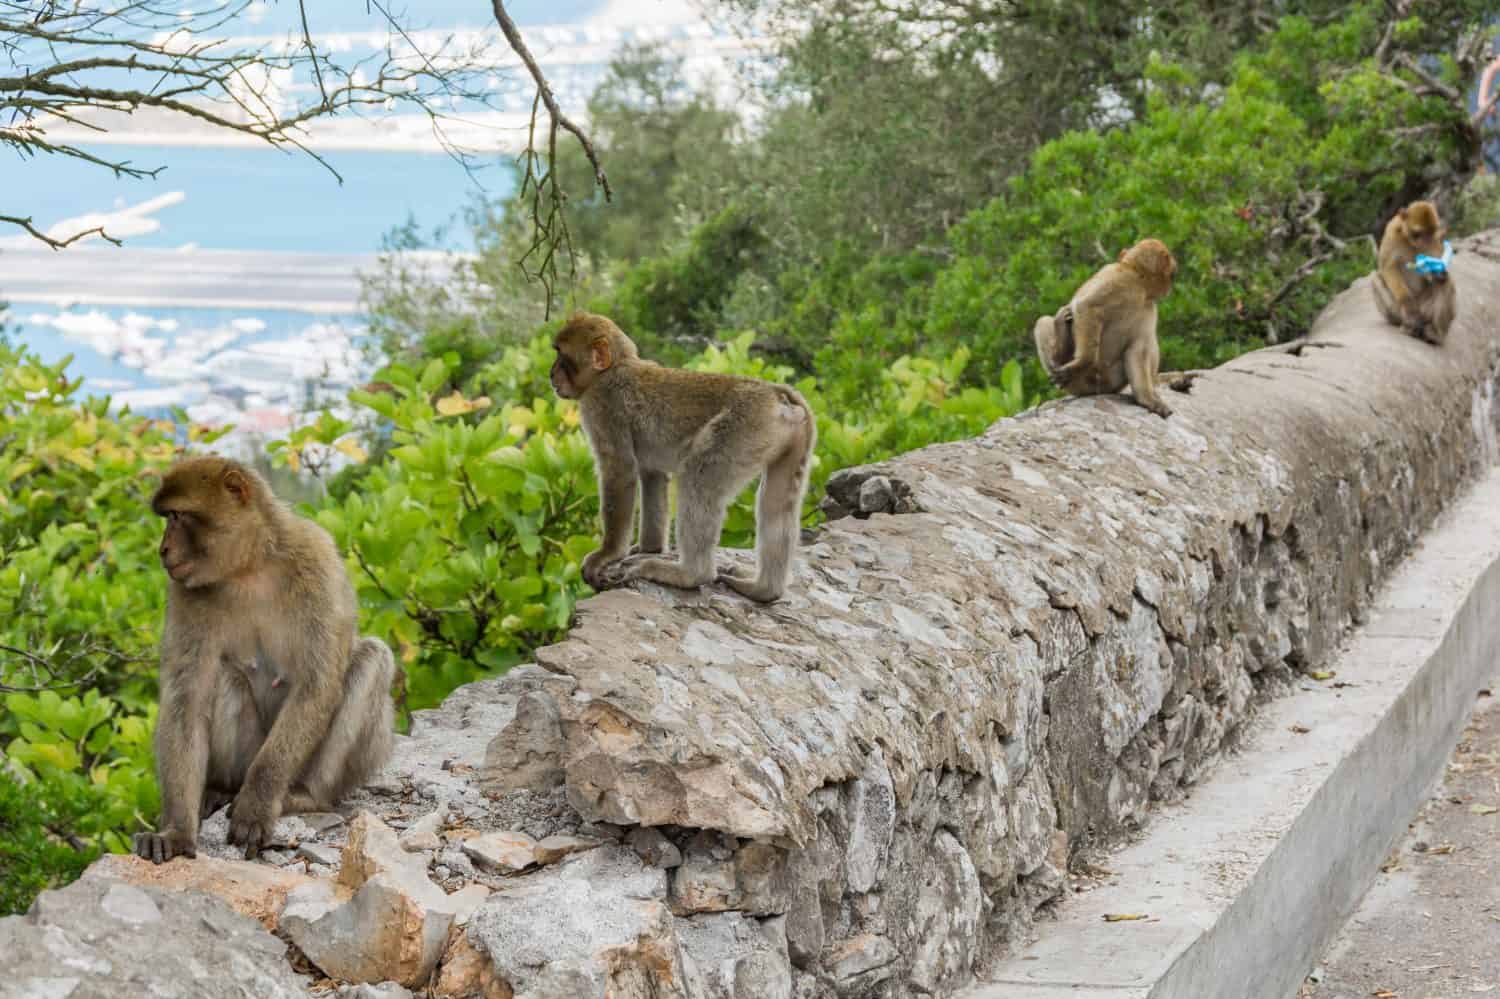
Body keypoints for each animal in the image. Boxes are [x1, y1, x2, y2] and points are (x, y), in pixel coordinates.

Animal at [132, 455, 396, 863]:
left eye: (177, 516)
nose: (163, 549)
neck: (249, 566)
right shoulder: (185, 592)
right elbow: (186, 701)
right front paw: (175, 831)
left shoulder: (316, 560)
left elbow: (316, 686)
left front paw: (256, 806)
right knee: (224, 678)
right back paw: (222, 789)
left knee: (373, 659)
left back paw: (305, 797)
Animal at [550, 312, 815, 603]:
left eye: (561, 354)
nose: (552, 374)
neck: (615, 367)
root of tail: (776, 395)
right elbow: (651, 475)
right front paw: (650, 547)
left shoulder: (602, 406)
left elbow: (620, 470)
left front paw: (607, 555)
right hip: (785, 441)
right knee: (776, 504)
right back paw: (765, 589)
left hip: (744, 428)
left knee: (698, 476)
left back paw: (690, 574)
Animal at [1032, 238, 1187, 418]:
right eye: (1172, 274)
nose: (1170, 287)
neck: (1138, 282)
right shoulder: (1119, 281)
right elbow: (1087, 307)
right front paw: (1081, 363)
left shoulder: (1148, 308)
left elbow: (1138, 348)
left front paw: (1147, 399)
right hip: (1081, 383)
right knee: (1043, 321)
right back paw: (1059, 349)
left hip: (1113, 379)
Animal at [1372, 200, 1456, 345]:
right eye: (1418, 233)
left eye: (1432, 232)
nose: (1427, 241)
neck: (1409, 241)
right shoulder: (1391, 233)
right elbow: (1388, 267)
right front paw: (1408, 305)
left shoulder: (1436, 240)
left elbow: (1436, 268)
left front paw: (1439, 274)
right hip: (1398, 310)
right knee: (1375, 279)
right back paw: (1407, 325)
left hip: (1427, 309)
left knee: (1446, 284)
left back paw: (1435, 334)